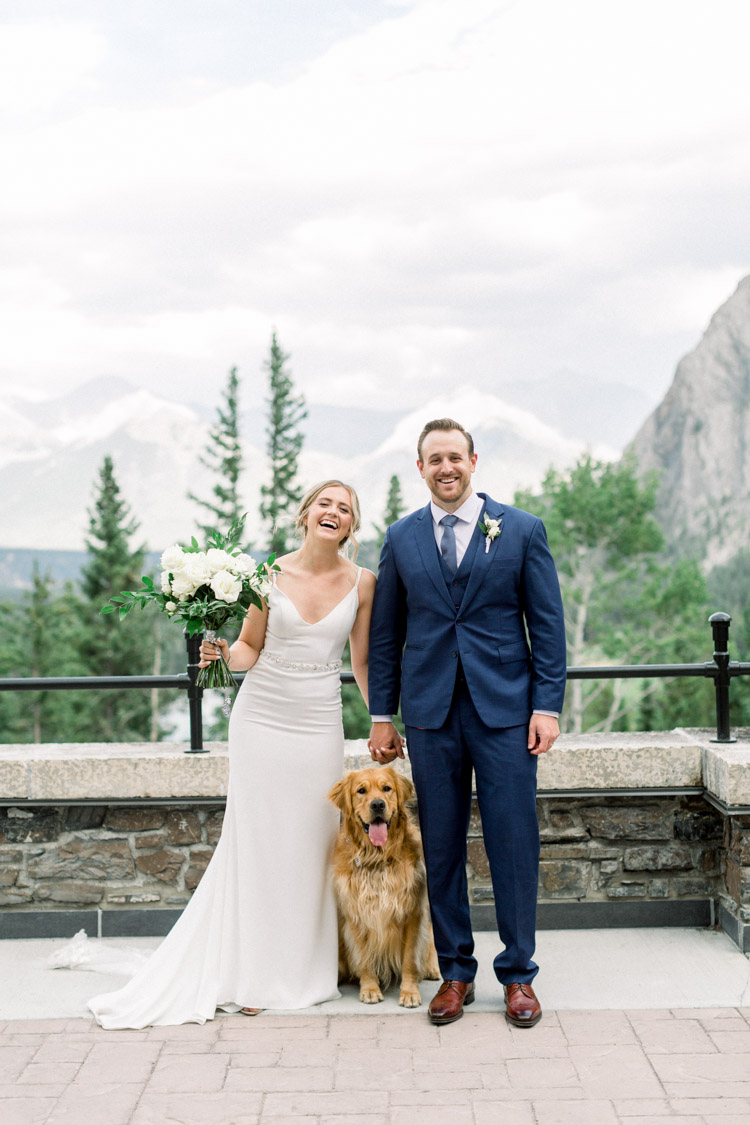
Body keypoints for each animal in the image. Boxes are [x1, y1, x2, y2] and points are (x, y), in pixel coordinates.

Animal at [326, 769, 440, 1008]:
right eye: (361, 790)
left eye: (386, 788)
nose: (377, 804)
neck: (376, 858)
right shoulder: (356, 914)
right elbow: (364, 958)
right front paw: (370, 989)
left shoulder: (412, 912)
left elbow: (410, 959)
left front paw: (409, 993)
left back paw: (433, 968)